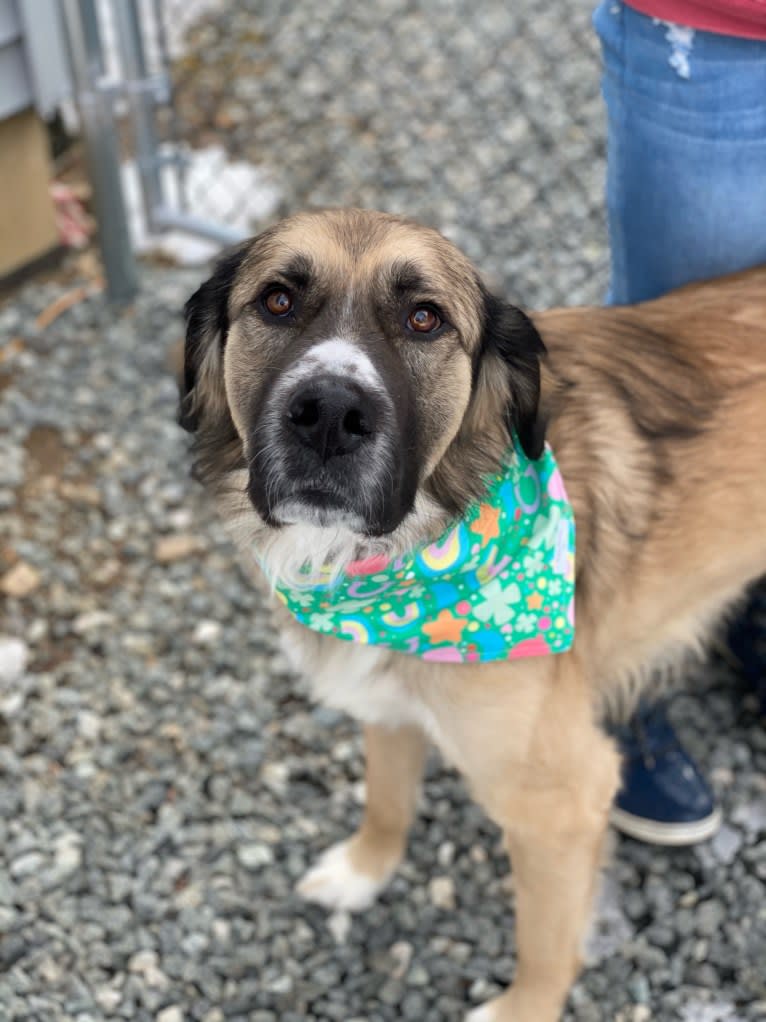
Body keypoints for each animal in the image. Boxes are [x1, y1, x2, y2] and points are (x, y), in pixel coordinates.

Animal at [178, 207, 766, 1021]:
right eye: (277, 301)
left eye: (424, 319)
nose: (328, 415)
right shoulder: (387, 703)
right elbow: (387, 802)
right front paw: (363, 872)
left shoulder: (561, 802)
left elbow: (545, 941)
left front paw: (523, 1008)